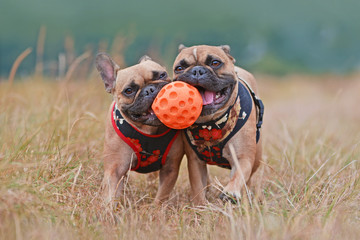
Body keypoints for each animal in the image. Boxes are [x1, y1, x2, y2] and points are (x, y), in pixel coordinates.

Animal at [96, 53, 183, 204]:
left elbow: (162, 195)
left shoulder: (170, 168)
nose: (150, 89)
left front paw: (156, 208)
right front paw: (109, 208)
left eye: (162, 75)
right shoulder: (114, 170)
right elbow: (111, 193)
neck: (149, 130)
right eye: (129, 91)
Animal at [173, 44, 262, 204]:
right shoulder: (195, 161)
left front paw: (231, 192)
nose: (197, 71)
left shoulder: (243, 157)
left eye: (215, 63)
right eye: (179, 68)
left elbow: (239, 175)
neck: (210, 123)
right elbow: (197, 186)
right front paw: (200, 205)